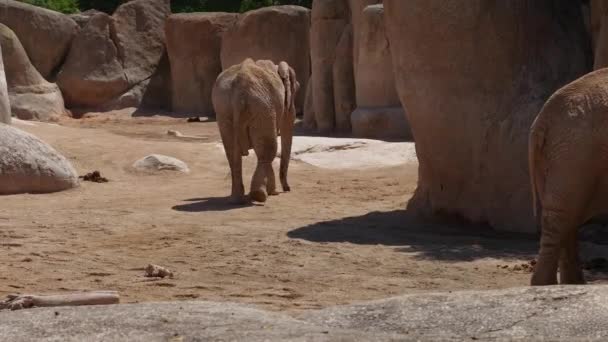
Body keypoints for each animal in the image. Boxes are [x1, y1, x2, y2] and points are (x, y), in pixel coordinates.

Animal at [213, 58, 300, 203]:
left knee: (232, 154)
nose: (287, 189)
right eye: (297, 89)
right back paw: (260, 196)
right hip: (262, 107)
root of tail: (239, 86)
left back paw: (236, 198)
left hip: (223, 108)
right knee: (267, 152)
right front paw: (273, 193)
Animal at [528, 67, 608, 286]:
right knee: (561, 215)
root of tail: (542, 119)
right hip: (574, 152)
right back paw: (544, 285)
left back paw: (570, 284)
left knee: (569, 215)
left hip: (564, 154)